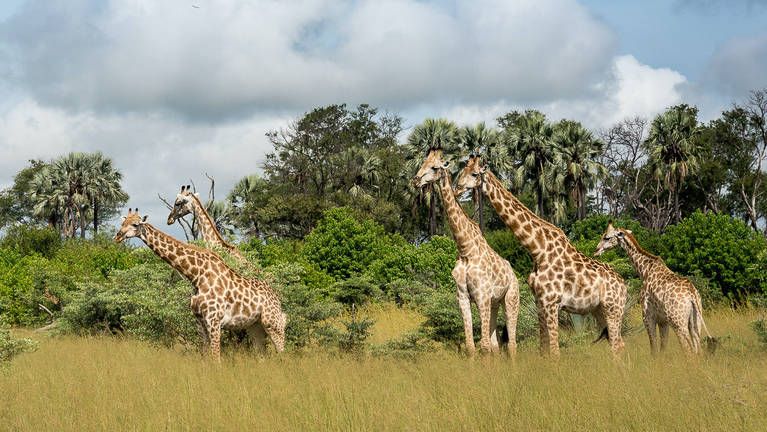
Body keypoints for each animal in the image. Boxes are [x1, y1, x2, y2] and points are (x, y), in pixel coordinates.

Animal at [117, 208, 288, 360]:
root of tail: (277, 298)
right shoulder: (199, 320)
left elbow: (216, 357)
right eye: (122, 223)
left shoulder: (214, 320)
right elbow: (204, 357)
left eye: (135, 224)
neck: (196, 276)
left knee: (282, 353)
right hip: (255, 326)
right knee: (262, 355)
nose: (117, 237)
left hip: (273, 324)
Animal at [412, 147, 520, 356]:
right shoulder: (462, 297)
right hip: (495, 303)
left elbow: (484, 347)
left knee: (511, 344)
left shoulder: (482, 296)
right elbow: (471, 346)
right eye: (422, 163)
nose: (415, 181)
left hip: (511, 298)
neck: (465, 250)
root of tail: (514, 274)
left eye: (434, 167)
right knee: (496, 345)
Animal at [452, 157, 628, 356]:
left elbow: (555, 351)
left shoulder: (552, 302)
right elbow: (544, 348)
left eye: (474, 174)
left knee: (617, 345)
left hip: (614, 309)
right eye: (463, 170)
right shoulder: (540, 302)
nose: (457, 188)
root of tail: (623, 284)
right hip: (600, 310)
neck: (538, 250)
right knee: (619, 344)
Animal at [592, 223, 712, 354]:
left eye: (607, 237)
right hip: (696, 321)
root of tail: (692, 296)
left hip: (678, 322)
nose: (596, 251)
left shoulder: (648, 316)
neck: (644, 271)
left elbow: (653, 348)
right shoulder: (663, 321)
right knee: (698, 349)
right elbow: (662, 348)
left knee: (688, 349)